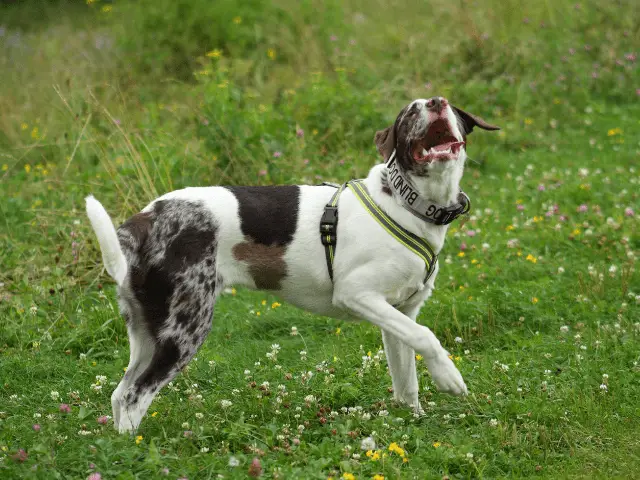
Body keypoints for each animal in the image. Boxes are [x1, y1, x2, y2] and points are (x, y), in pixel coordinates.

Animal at [86, 96, 500, 432]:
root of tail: (146, 217)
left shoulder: (401, 311)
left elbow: (407, 379)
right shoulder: (357, 295)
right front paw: (449, 378)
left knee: (119, 394)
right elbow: (427, 337)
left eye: (447, 106)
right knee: (135, 396)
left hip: (148, 334)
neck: (405, 203)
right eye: (411, 112)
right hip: (183, 330)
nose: (435, 102)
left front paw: (412, 421)